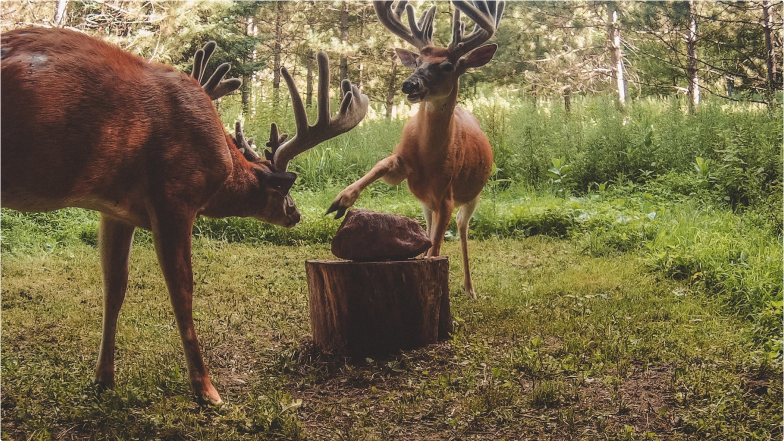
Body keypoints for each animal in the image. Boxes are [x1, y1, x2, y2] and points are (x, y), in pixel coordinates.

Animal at [0, 27, 368, 405]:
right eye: (282, 191)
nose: (295, 214)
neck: (222, 164)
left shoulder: (116, 210)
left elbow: (114, 287)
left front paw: (104, 378)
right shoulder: (174, 197)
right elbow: (182, 292)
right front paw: (206, 389)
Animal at [327, 0, 504, 299]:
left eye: (447, 66)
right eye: (419, 61)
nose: (409, 83)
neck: (429, 157)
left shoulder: (446, 195)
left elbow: (437, 247)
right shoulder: (403, 161)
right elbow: (381, 165)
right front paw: (341, 199)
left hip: (474, 194)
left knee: (462, 227)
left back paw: (469, 288)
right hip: (426, 204)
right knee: (431, 228)